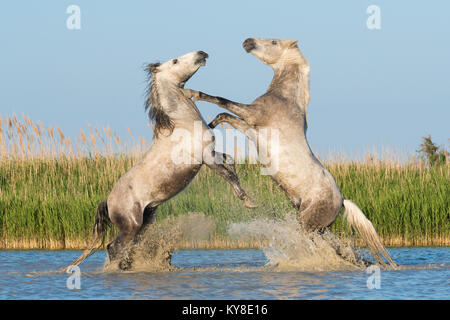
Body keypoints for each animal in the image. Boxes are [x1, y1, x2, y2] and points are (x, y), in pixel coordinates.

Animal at [66, 50, 256, 270]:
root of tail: (109, 200)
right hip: (130, 226)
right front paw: (249, 202)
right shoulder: (206, 158)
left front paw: (246, 196)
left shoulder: (211, 152)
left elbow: (231, 162)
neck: (182, 123)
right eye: (175, 61)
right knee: (113, 247)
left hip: (145, 220)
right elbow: (227, 175)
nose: (202, 53)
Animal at [183, 38, 394, 268]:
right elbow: (224, 115)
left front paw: (192, 94)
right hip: (320, 229)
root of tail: (341, 202)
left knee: (323, 248)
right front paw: (209, 126)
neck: (285, 98)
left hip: (309, 226)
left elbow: (221, 101)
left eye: (273, 41)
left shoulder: (252, 114)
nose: (247, 41)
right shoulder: (251, 128)